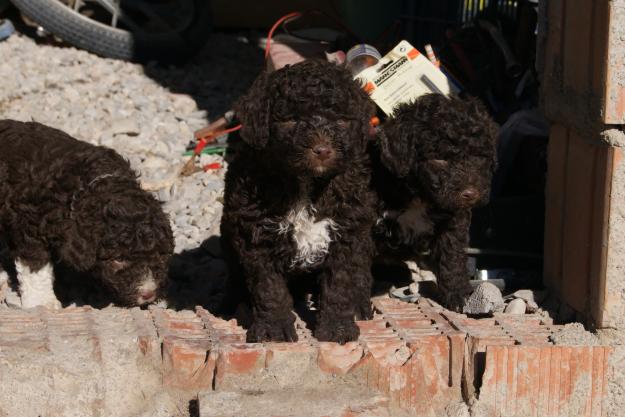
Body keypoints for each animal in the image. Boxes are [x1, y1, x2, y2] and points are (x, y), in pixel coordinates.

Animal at [0, 118, 173, 308]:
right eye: (118, 259)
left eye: (159, 254)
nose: (148, 294)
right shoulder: (28, 222)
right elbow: (34, 263)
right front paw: (42, 302)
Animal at [221, 60, 376, 342]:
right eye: (291, 120)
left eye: (340, 120)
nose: (322, 150)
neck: (306, 182)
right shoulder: (256, 233)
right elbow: (269, 288)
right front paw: (273, 329)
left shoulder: (347, 229)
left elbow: (341, 282)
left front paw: (337, 327)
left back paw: (360, 305)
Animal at [372, 93, 500, 308]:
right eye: (440, 158)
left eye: (480, 157)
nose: (471, 193)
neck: (419, 195)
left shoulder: (453, 220)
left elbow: (452, 257)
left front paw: (458, 294)